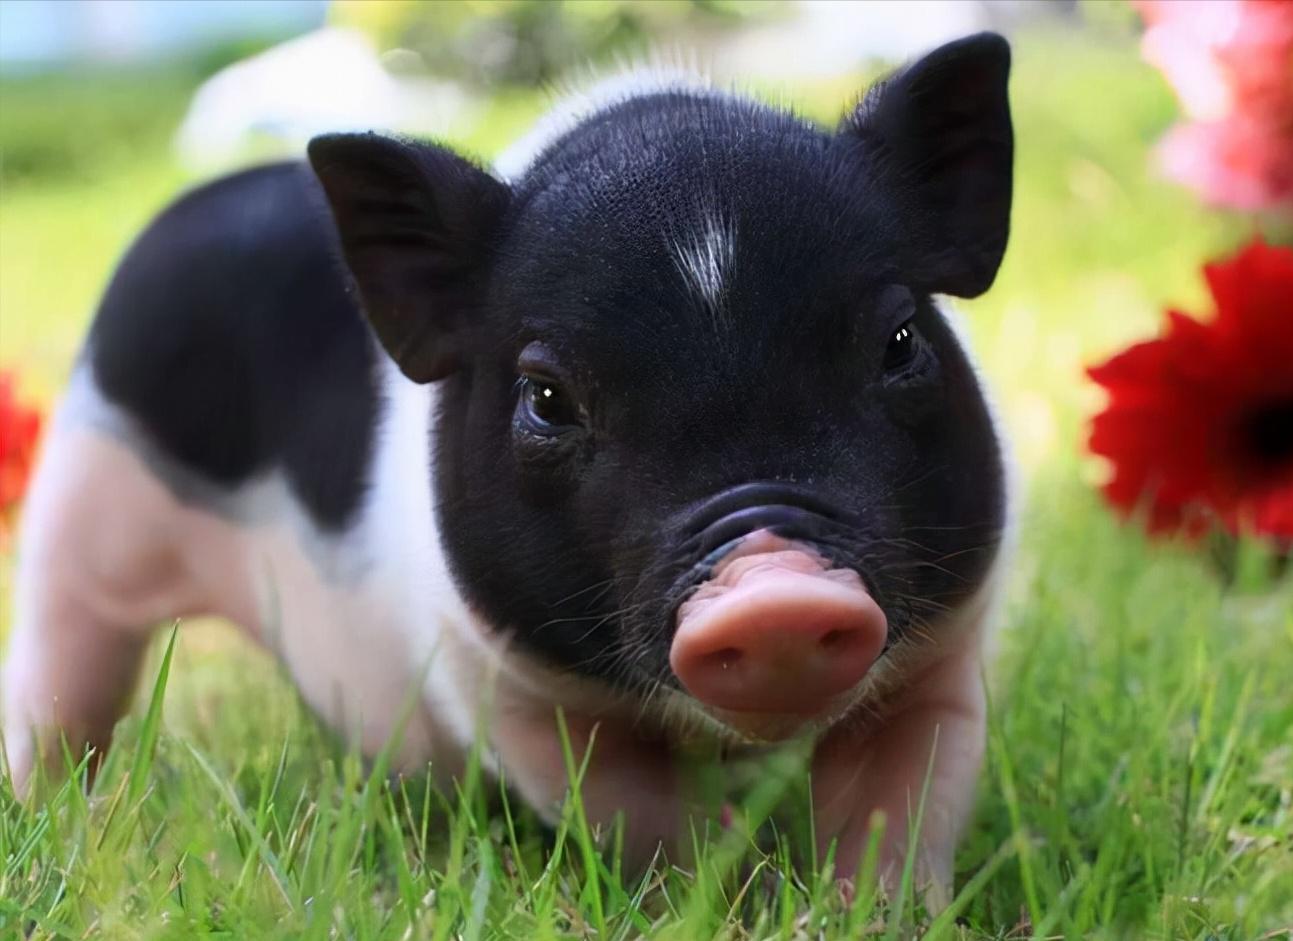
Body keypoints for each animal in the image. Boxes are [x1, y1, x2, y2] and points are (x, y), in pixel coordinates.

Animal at [1, 33, 1014, 900]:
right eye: (548, 397)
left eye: (899, 341)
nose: (774, 591)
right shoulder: (510, 688)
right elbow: (633, 812)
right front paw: (736, 884)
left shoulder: (943, 652)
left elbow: (901, 803)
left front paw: (865, 907)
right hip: (82, 507)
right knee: (64, 676)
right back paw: (52, 812)